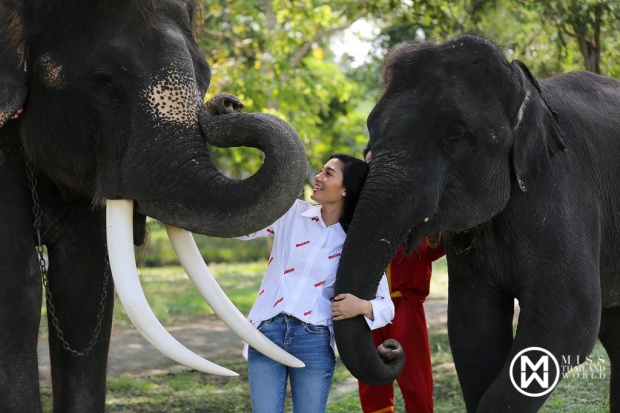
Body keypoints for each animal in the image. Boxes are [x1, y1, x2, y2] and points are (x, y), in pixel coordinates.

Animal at [334, 36, 620, 412]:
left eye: (455, 138)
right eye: (371, 134)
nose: (389, 349)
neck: (525, 86)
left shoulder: (563, 188)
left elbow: (570, 320)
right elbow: (472, 327)